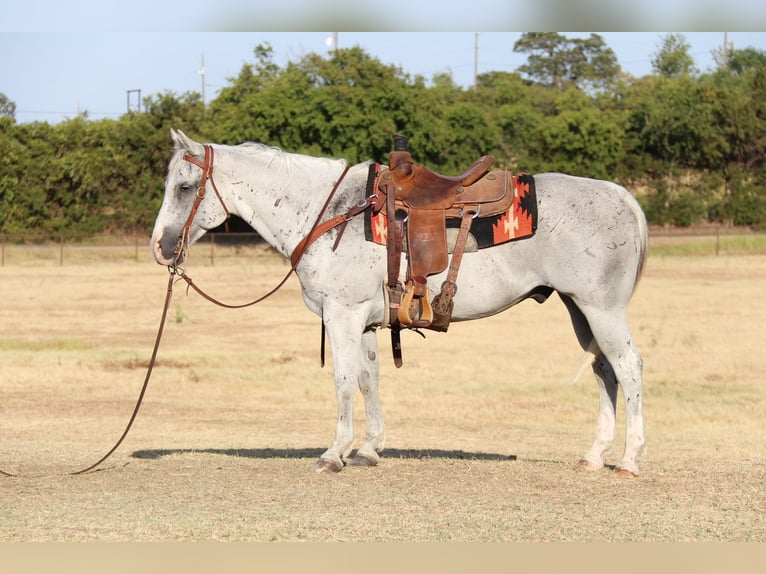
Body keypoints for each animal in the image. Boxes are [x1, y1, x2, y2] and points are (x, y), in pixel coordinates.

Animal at [153, 129, 652, 476]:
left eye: (184, 186)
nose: (160, 246)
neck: (329, 212)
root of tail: (621, 194)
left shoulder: (342, 314)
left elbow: (343, 380)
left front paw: (333, 453)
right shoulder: (366, 322)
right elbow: (368, 380)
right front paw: (368, 449)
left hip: (602, 310)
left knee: (628, 367)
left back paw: (629, 459)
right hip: (580, 310)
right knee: (604, 370)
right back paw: (594, 455)